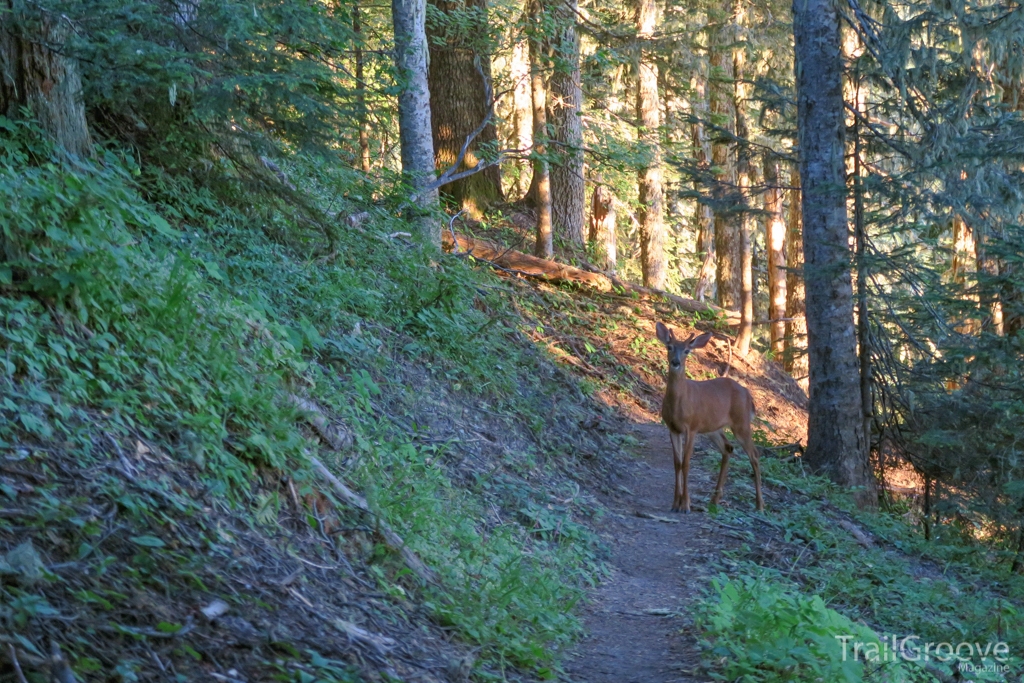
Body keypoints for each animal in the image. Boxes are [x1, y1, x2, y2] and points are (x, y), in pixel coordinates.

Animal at [655, 321, 761, 511]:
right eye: (669, 347)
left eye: (687, 351)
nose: (675, 362)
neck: (680, 403)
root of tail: (748, 395)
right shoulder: (672, 427)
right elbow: (677, 463)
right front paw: (675, 503)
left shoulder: (692, 426)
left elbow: (686, 463)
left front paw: (685, 505)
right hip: (713, 427)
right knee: (728, 448)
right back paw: (715, 499)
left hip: (741, 423)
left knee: (754, 455)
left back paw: (760, 505)